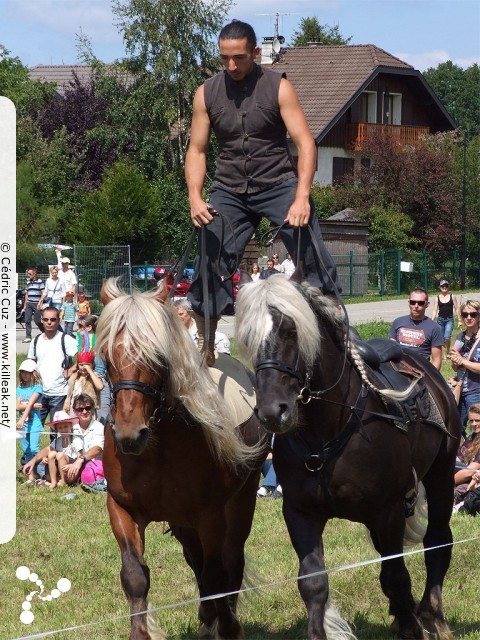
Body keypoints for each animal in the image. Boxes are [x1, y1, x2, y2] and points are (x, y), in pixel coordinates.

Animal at [95, 280, 264, 640]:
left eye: (157, 355)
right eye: (107, 356)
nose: (129, 435)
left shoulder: (211, 516)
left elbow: (217, 575)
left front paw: (229, 627)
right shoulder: (122, 509)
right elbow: (135, 575)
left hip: (242, 498)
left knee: (231, 560)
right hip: (182, 521)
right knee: (195, 560)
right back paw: (207, 616)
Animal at [234, 276, 460, 640]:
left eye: (290, 331)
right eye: (249, 338)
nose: (271, 412)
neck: (330, 429)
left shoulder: (388, 512)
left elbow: (395, 577)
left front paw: (412, 626)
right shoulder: (301, 513)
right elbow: (313, 583)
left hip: (440, 475)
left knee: (438, 542)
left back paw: (432, 616)